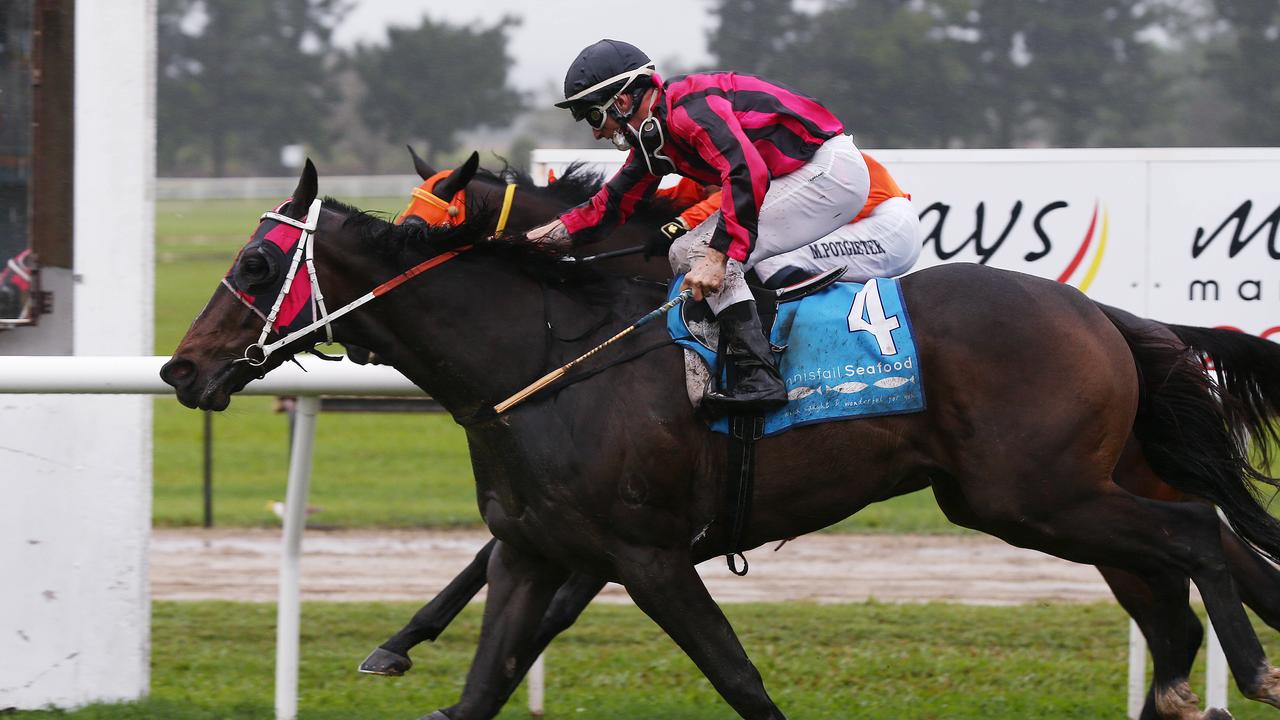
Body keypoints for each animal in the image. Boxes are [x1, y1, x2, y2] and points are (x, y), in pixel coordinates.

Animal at [162, 161, 1280, 717]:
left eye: (256, 266)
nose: (181, 370)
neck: (548, 352)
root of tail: (1101, 314)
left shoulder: (646, 554)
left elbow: (738, 677)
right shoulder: (539, 551)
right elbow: (482, 685)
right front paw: (402, 647)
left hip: (1030, 494)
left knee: (1194, 539)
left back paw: (1247, 670)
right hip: (1068, 490)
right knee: (1205, 557)